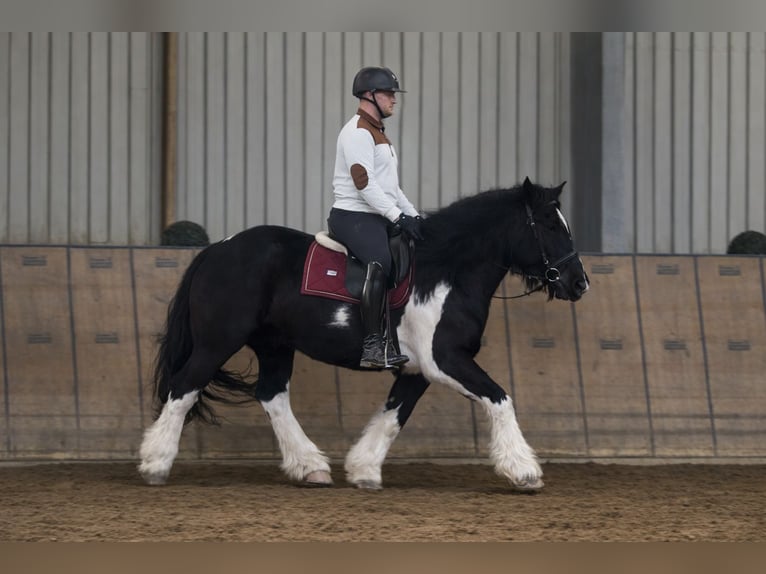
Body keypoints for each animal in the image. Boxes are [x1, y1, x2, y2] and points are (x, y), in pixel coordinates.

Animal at [138, 177, 589, 491]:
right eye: (549, 225)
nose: (579, 283)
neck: (446, 270)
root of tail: (217, 249)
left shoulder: (417, 370)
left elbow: (392, 417)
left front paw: (363, 469)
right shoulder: (445, 361)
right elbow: (500, 398)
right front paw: (523, 470)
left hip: (274, 344)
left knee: (272, 395)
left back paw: (311, 467)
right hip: (217, 342)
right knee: (184, 387)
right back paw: (155, 463)